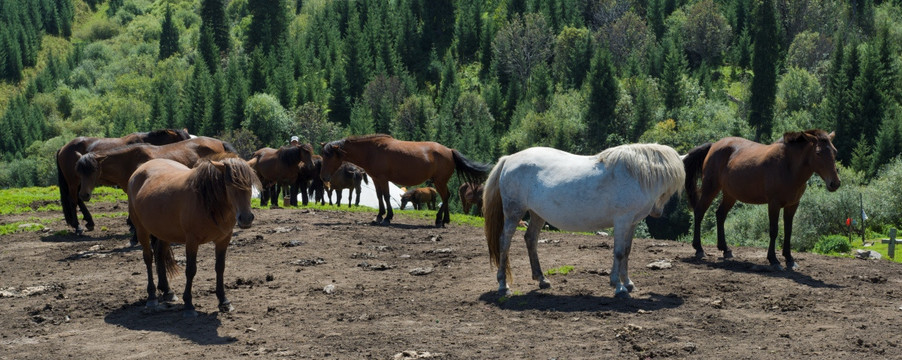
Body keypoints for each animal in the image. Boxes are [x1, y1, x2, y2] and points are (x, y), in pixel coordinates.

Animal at [56, 129, 191, 236]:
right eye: (182, 141)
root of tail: (63, 148)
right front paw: (131, 224)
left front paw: (130, 223)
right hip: (73, 182)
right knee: (73, 200)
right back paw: (78, 226)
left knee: (79, 198)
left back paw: (89, 222)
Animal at [125, 158, 258, 318]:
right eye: (229, 184)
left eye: (250, 184)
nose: (246, 218)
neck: (207, 202)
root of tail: (139, 170)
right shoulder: (192, 241)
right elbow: (191, 270)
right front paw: (188, 305)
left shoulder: (223, 240)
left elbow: (220, 268)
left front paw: (224, 301)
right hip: (142, 230)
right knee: (148, 258)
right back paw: (152, 297)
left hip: (164, 232)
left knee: (159, 255)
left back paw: (168, 291)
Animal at [324, 134, 494, 226]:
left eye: (330, 155)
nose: (323, 176)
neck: (372, 150)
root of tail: (450, 151)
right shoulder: (376, 179)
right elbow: (379, 196)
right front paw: (379, 216)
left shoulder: (383, 179)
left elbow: (386, 196)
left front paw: (387, 217)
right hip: (440, 182)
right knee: (447, 197)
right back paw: (445, 219)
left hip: (439, 181)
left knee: (445, 196)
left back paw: (439, 220)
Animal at [488, 143, 684, 298]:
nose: (657, 212)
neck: (633, 174)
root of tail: (509, 159)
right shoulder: (622, 221)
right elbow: (619, 252)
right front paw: (618, 287)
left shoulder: (632, 223)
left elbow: (627, 252)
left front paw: (628, 283)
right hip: (514, 212)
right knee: (504, 242)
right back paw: (503, 285)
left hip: (537, 214)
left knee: (530, 239)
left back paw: (542, 279)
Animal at [688, 130, 844, 270]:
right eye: (818, 153)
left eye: (835, 152)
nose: (835, 183)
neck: (788, 166)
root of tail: (714, 145)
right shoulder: (774, 204)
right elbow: (774, 230)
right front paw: (773, 260)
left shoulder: (792, 205)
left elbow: (788, 231)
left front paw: (789, 259)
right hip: (710, 189)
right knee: (699, 212)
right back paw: (699, 249)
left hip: (730, 194)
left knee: (720, 214)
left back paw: (726, 250)